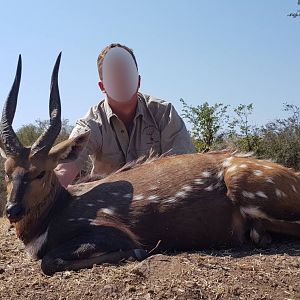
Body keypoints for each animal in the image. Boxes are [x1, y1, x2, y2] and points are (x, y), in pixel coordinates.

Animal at [0, 54, 300, 276]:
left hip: (243, 185)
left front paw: (138, 252)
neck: (54, 214)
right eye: (7, 172)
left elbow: (49, 261)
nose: (12, 210)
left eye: (40, 172)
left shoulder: (110, 231)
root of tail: (293, 175)